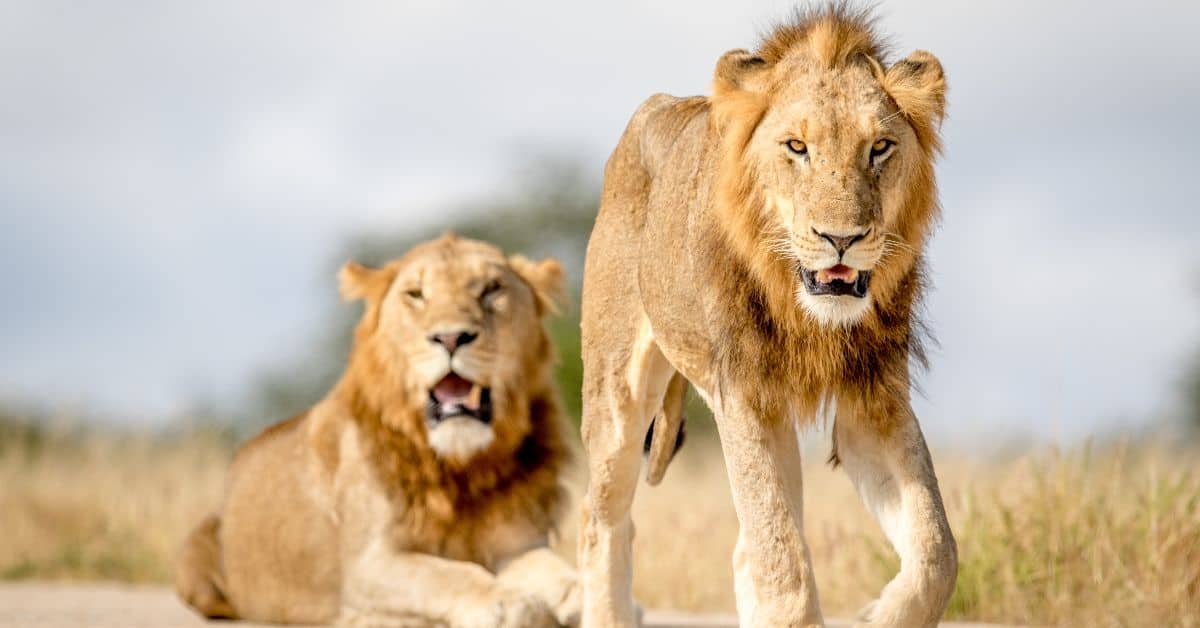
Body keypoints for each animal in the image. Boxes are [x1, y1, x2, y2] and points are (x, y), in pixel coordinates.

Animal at [176, 234, 581, 627]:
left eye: (491, 289)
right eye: (415, 294)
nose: (451, 338)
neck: (462, 468)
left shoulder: (518, 543)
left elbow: (553, 569)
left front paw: (584, 591)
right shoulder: (368, 564)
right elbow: (443, 575)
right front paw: (504, 602)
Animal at [579, 5, 956, 627]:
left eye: (879, 146)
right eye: (797, 147)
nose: (841, 239)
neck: (808, 314)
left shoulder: (873, 401)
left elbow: (936, 550)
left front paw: (881, 614)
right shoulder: (743, 395)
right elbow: (783, 566)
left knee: (741, 552)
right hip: (617, 399)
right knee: (602, 523)